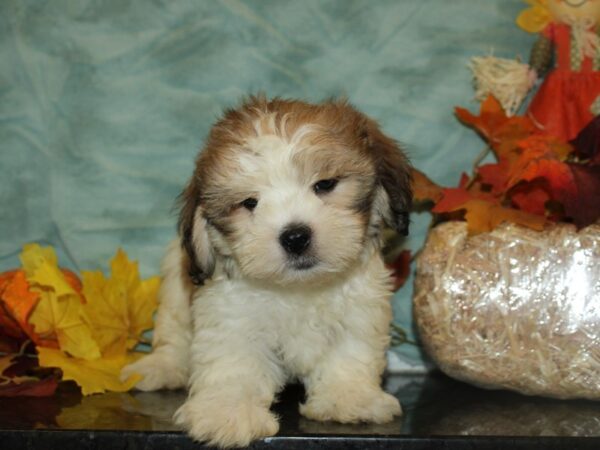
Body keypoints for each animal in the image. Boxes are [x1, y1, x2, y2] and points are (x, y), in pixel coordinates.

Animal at [122, 96, 412, 448]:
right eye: (250, 203)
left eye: (324, 185)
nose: (295, 236)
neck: (297, 288)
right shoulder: (231, 316)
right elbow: (234, 364)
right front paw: (227, 412)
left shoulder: (360, 308)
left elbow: (349, 353)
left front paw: (350, 398)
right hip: (175, 283)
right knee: (173, 333)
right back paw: (161, 367)